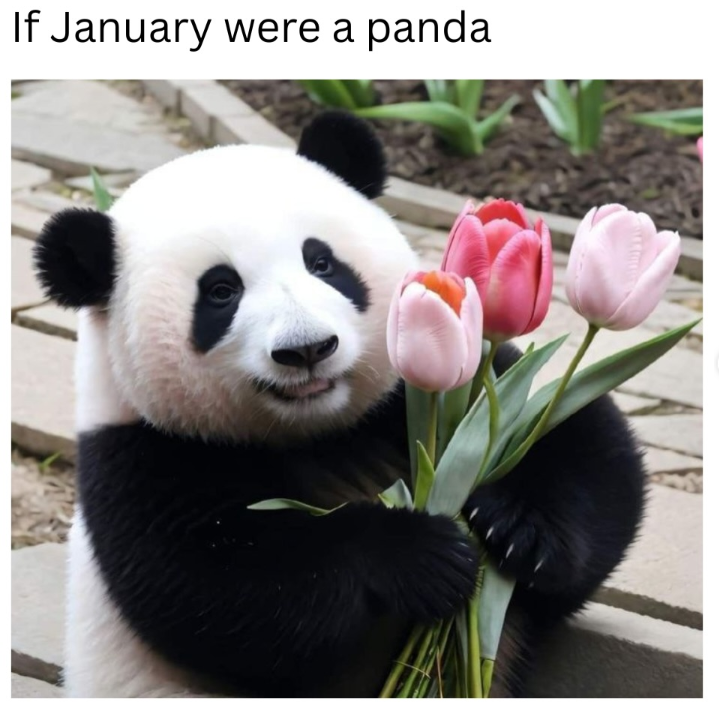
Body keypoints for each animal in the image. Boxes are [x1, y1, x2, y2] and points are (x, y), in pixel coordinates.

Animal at [34, 111, 646, 698]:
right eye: (221, 291)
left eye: (322, 263)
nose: (306, 349)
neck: (319, 431)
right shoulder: (143, 454)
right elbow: (219, 591)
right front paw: (419, 554)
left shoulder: (434, 384)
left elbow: (583, 448)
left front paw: (517, 530)